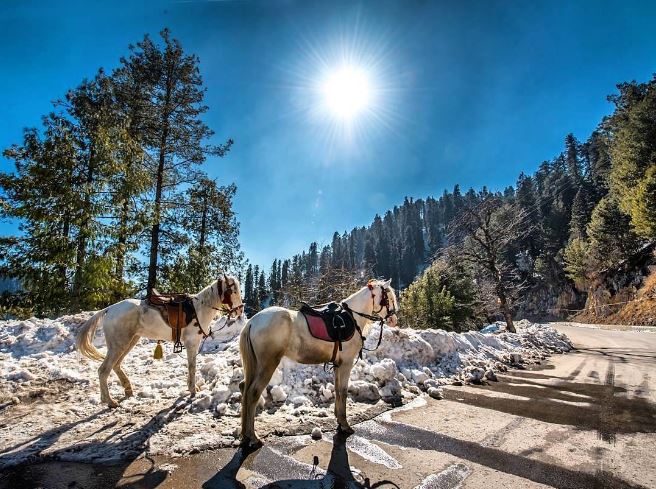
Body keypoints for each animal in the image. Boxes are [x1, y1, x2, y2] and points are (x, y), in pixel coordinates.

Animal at [75, 272, 243, 406]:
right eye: (233, 290)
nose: (240, 310)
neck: (198, 310)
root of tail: (110, 309)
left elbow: (191, 366)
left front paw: (191, 387)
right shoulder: (192, 343)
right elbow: (192, 367)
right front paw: (193, 390)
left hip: (130, 341)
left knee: (116, 366)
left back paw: (127, 389)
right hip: (118, 345)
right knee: (104, 370)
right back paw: (109, 401)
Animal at [238, 278, 398, 446]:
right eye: (389, 298)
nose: (394, 319)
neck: (353, 318)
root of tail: (252, 322)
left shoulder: (338, 364)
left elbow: (337, 390)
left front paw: (339, 420)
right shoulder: (346, 363)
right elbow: (343, 391)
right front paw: (345, 425)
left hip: (255, 364)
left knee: (244, 388)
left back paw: (245, 434)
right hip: (267, 364)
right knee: (253, 392)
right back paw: (253, 436)